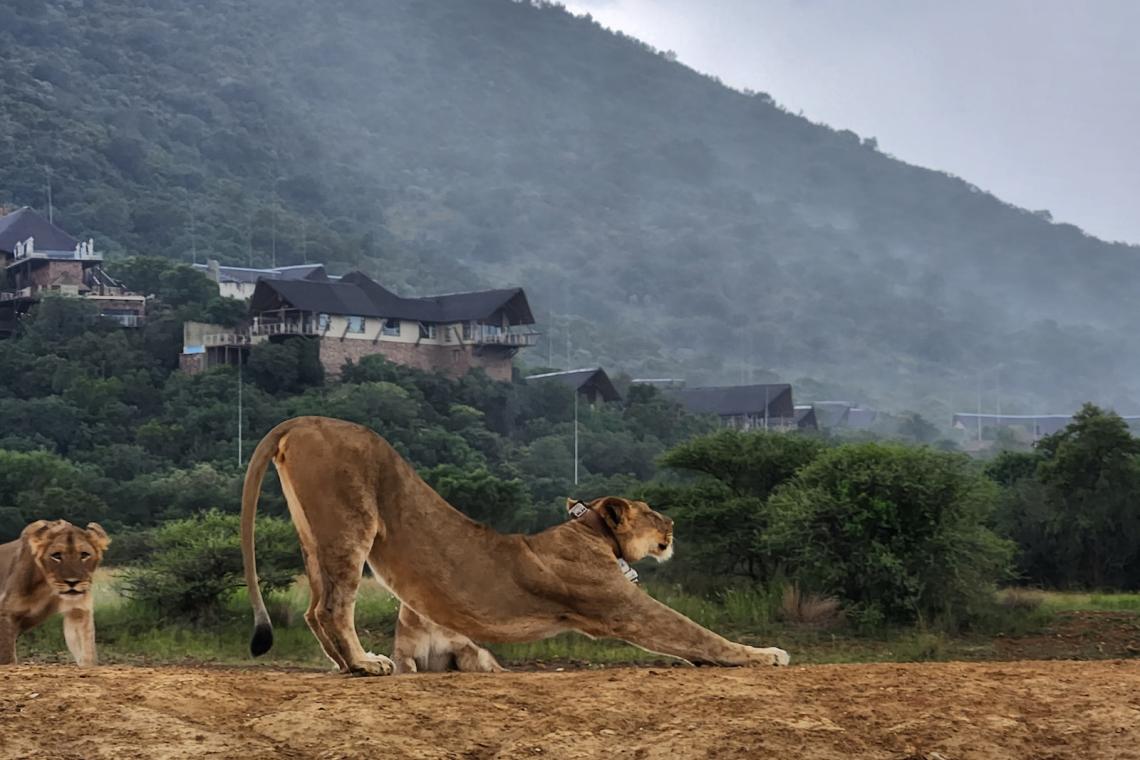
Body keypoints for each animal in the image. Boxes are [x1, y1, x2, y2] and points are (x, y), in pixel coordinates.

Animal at [0, 519, 110, 666]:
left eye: (84, 555)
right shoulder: (7, 612)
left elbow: (87, 652)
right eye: (56, 556)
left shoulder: (78, 611)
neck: (49, 586)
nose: (72, 582)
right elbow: (7, 657)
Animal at [241, 416, 789, 675]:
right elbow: (697, 633)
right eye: (652, 510)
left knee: (313, 607)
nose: (673, 523)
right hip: (351, 523)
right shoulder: (622, 607)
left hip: (314, 534)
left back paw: (345, 666)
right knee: (334, 606)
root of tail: (301, 420)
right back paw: (363, 664)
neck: (591, 533)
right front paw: (766, 654)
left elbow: (695, 644)